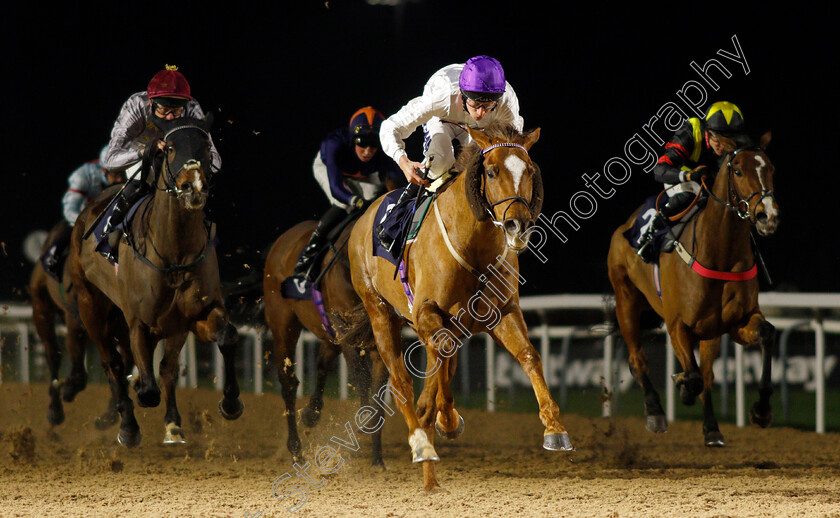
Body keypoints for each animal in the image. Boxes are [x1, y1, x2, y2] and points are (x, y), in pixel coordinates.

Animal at [28, 221, 132, 428]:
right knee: (52, 354)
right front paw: (70, 388)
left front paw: (111, 414)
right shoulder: (77, 315)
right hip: (41, 309)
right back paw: (55, 409)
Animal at [69, 117, 243, 446]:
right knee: (112, 363)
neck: (174, 253)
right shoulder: (138, 321)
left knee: (163, 368)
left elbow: (224, 338)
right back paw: (127, 425)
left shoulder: (193, 316)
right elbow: (148, 389)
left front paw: (229, 403)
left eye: (205, 146)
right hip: (91, 306)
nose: (193, 186)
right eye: (170, 147)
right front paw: (136, 400)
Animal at [264, 219, 388, 468]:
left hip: (327, 333)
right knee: (288, 383)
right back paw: (296, 450)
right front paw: (365, 420)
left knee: (322, 364)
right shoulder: (347, 333)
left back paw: (311, 413)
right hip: (283, 325)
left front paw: (377, 458)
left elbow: (378, 393)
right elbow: (362, 377)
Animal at [334, 122, 572, 492]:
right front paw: (442, 419)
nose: (518, 225)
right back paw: (422, 445)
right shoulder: (427, 311)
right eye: (492, 171)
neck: (473, 245)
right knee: (401, 380)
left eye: (530, 172)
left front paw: (555, 429)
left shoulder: (500, 312)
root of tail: (364, 217)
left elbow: (529, 356)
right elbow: (436, 365)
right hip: (379, 312)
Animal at [608, 132, 776, 448]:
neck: (720, 253)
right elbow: (693, 376)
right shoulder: (677, 325)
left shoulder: (735, 322)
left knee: (707, 373)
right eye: (738, 171)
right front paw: (683, 386)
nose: (767, 216)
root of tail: (626, 224)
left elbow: (766, 334)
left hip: (710, 331)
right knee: (638, 359)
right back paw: (655, 411)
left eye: (771, 168)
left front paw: (761, 411)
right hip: (625, 300)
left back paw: (711, 428)